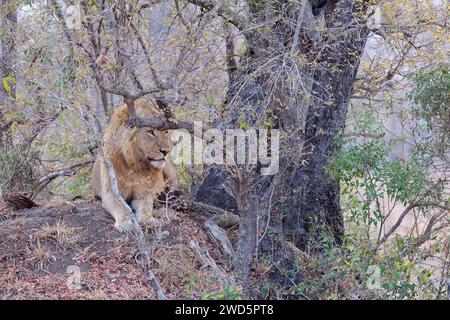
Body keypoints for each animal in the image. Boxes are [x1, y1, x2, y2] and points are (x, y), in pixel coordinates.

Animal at [91, 99, 179, 231]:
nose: (166, 151)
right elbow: (121, 208)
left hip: (168, 169)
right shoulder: (110, 192)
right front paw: (126, 223)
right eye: (150, 131)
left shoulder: (144, 192)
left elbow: (146, 207)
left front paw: (149, 219)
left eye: (166, 131)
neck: (134, 162)